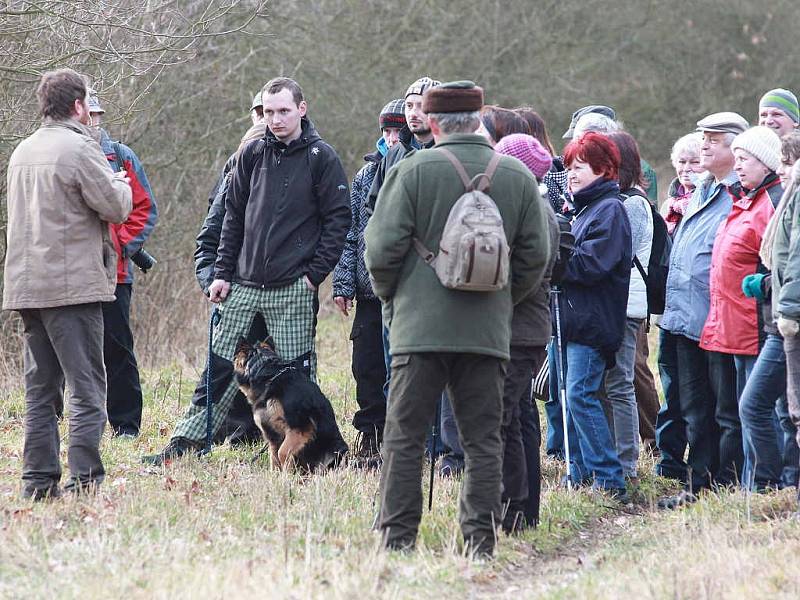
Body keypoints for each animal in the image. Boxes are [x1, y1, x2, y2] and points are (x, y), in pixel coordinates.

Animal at [228, 338, 346, 468]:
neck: (270, 377)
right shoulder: (272, 435)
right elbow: (273, 457)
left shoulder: (299, 428)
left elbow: (282, 452)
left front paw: (287, 471)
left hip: (334, 450)